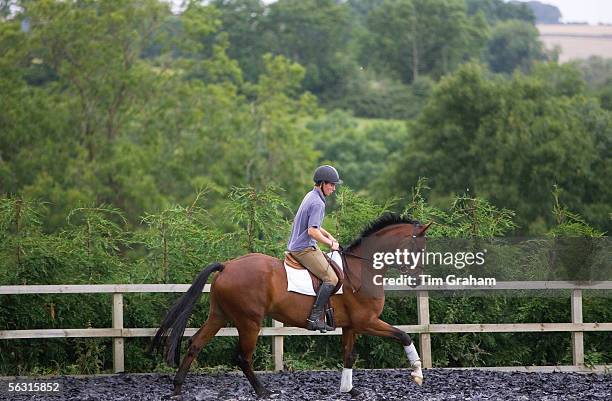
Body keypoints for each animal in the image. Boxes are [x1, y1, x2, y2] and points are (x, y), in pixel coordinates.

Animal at [152, 212, 430, 396]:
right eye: (419, 249)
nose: (419, 280)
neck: (362, 269)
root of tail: (227, 265)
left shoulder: (351, 325)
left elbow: (349, 355)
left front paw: (348, 389)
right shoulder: (367, 321)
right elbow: (404, 335)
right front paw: (417, 374)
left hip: (219, 315)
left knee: (196, 343)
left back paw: (177, 388)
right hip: (249, 322)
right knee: (242, 357)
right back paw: (263, 391)